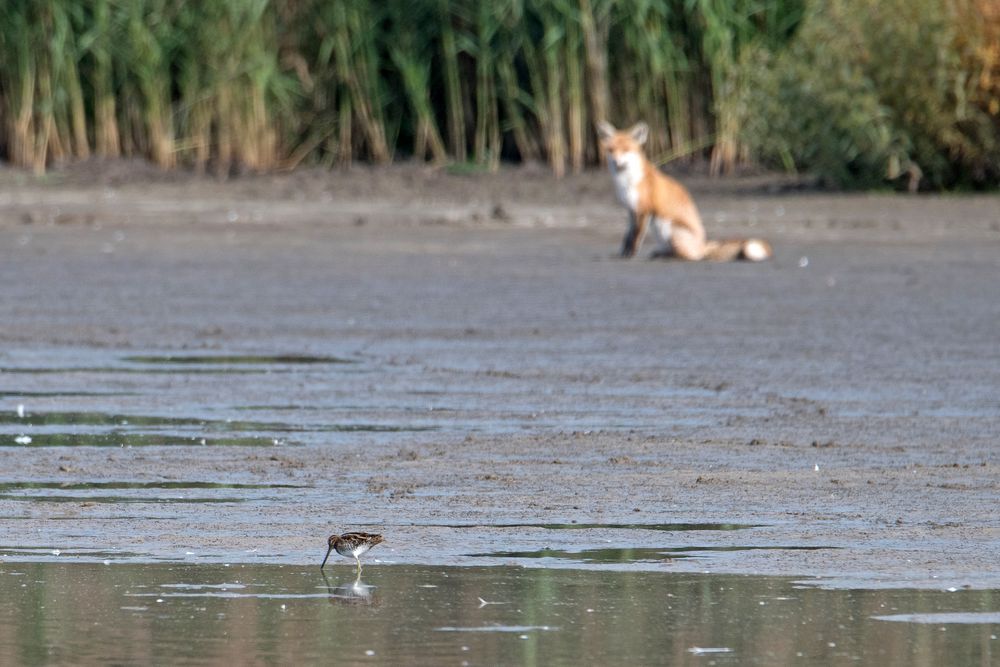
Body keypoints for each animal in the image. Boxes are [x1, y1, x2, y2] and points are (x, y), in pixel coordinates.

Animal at [596, 121, 768, 262]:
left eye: (626, 150)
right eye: (611, 150)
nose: (616, 162)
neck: (626, 182)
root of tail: (703, 245)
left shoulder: (644, 210)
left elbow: (636, 237)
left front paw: (630, 255)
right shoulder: (631, 211)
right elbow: (627, 237)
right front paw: (622, 254)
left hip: (668, 227)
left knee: (691, 256)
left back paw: (668, 257)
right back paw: (659, 253)